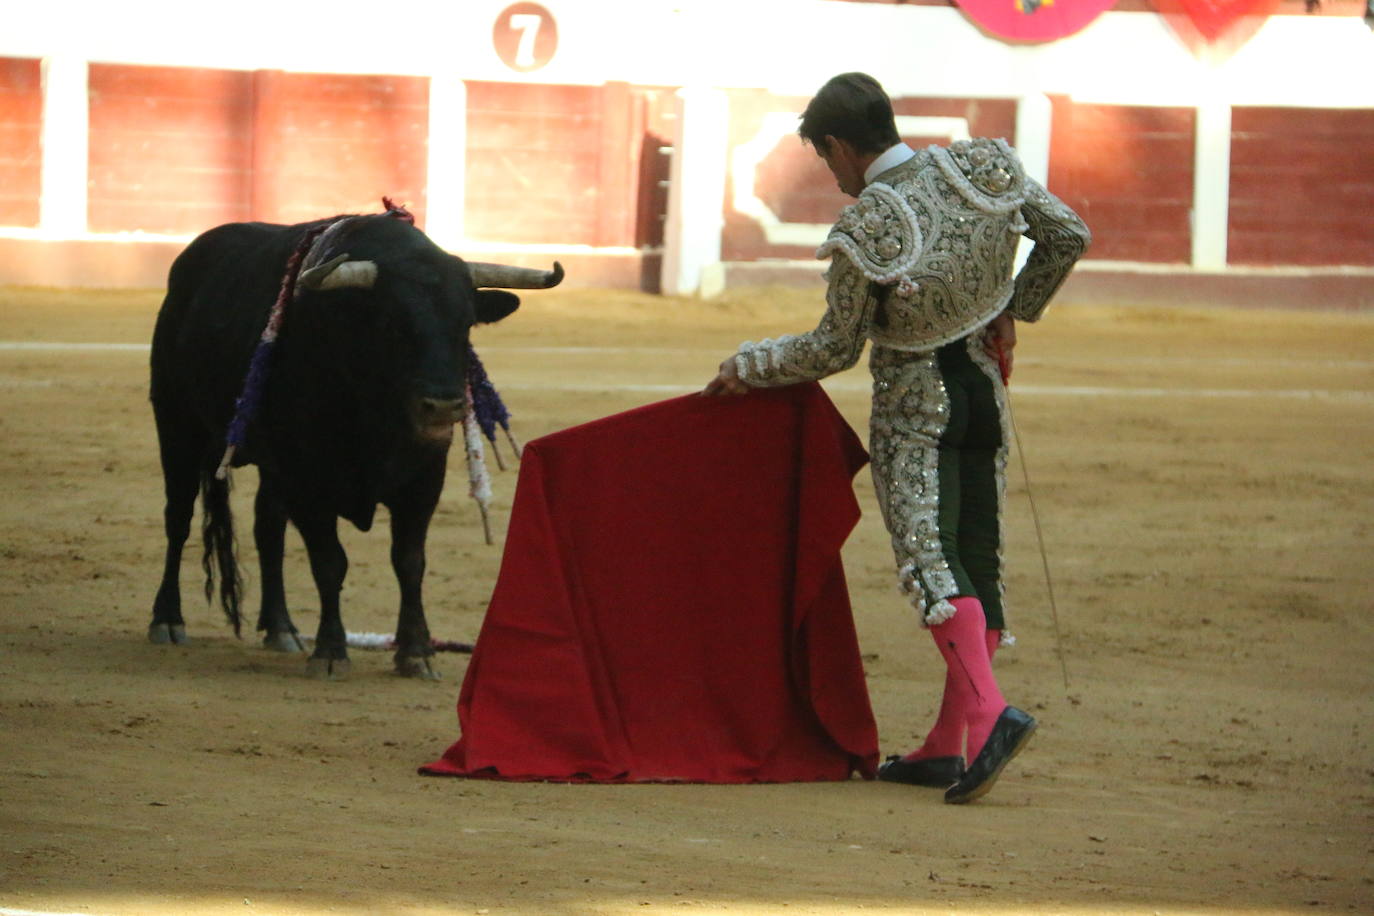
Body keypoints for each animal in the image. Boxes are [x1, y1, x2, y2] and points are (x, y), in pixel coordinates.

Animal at [147, 210, 560, 681]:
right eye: (392, 325)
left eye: (466, 324)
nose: (443, 405)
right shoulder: (308, 482)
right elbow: (330, 562)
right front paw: (330, 650)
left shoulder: (423, 480)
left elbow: (409, 561)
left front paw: (416, 652)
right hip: (177, 425)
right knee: (178, 518)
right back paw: (168, 620)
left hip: (271, 465)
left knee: (267, 528)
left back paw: (281, 628)